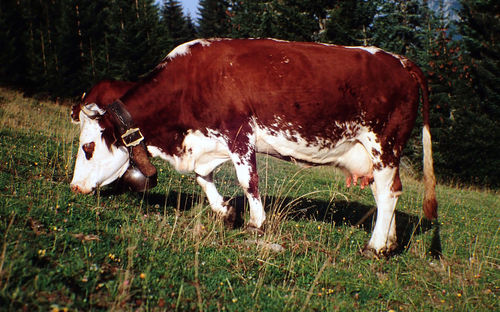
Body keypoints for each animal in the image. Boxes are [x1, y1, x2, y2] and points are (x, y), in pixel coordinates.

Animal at [71, 38, 438, 256]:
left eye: (88, 147)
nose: (74, 187)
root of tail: (400, 60)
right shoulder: (206, 144)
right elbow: (203, 178)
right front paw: (226, 212)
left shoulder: (239, 134)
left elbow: (248, 182)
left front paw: (255, 223)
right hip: (378, 154)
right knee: (386, 190)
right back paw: (389, 241)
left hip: (384, 143)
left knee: (388, 193)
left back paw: (375, 246)